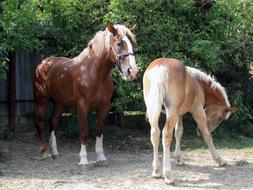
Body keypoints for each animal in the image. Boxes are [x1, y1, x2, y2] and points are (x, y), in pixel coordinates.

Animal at [33, 21, 138, 166]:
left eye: (131, 43)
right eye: (119, 43)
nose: (132, 72)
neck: (94, 74)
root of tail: (43, 63)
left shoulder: (104, 106)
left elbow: (99, 131)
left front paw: (101, 158)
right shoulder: (82, 107)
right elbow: (84, 132)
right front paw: (83, 160)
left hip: (60, 103)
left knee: (54, 122)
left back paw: (54, 152)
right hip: (41, 100)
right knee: (40, 123)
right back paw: (45, 153)